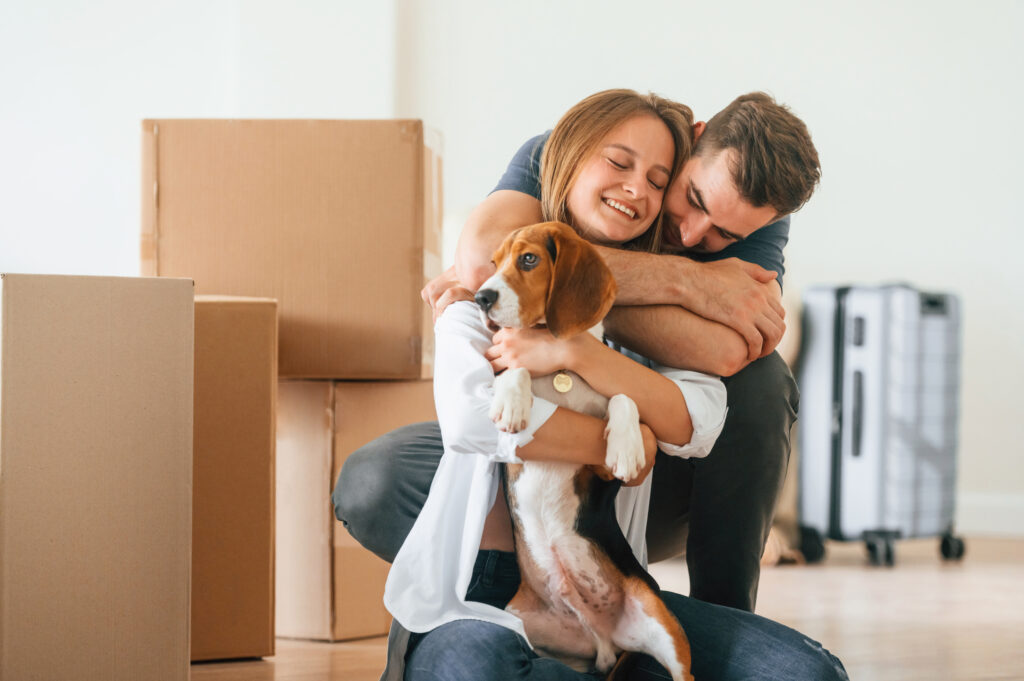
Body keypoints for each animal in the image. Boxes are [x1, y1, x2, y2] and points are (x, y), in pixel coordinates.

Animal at [473, 223, 696, 679]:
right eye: (494, 263)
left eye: (528, 259)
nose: (481, 297)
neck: (561, 372)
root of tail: (603, 642)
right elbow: (515, 369)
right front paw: (513, 400)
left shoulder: (596, 471)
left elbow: (624, 398)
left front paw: (626, 446)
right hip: (516, 619)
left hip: (661, 620)